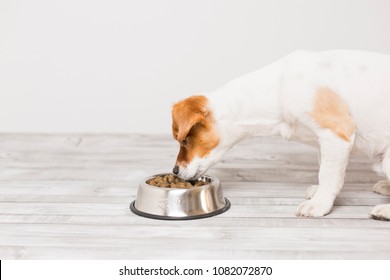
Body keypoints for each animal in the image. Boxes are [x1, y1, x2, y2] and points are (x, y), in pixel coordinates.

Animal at [171, 50, 390, 221]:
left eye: (184, 140)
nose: (174, 170)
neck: (278, 89)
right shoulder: (324, 142)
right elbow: (324, 169)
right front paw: (318, 193)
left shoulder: (337, 134)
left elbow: (328, 175)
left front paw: (319, 204)